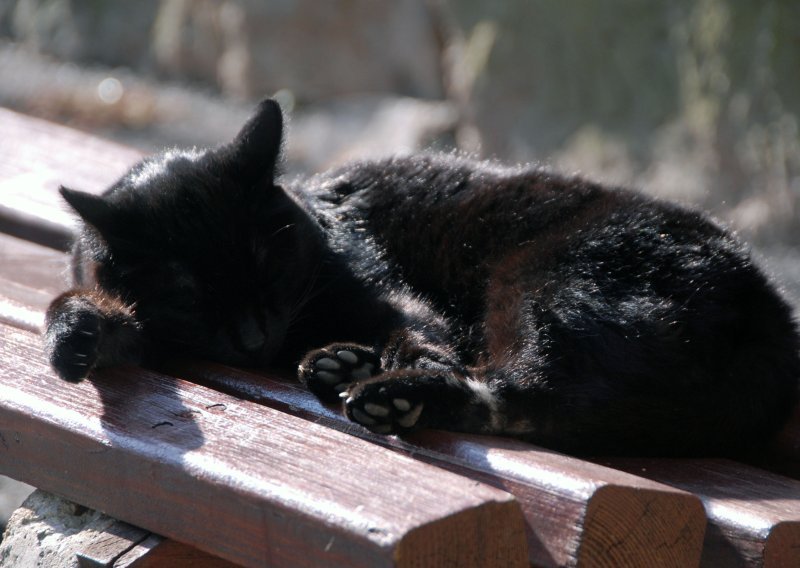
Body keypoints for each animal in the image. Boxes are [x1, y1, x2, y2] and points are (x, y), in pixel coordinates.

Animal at [45, 98, 800, 458]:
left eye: (263, 259)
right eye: (189, 291)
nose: (255, 337)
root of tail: (772, 315)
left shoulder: (395, 299)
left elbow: (420, 335)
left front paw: (395, 365)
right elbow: (88, 306)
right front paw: (73, 336)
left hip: (545, 286)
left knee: (519, 394)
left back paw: (390, 395)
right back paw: (340, 367)